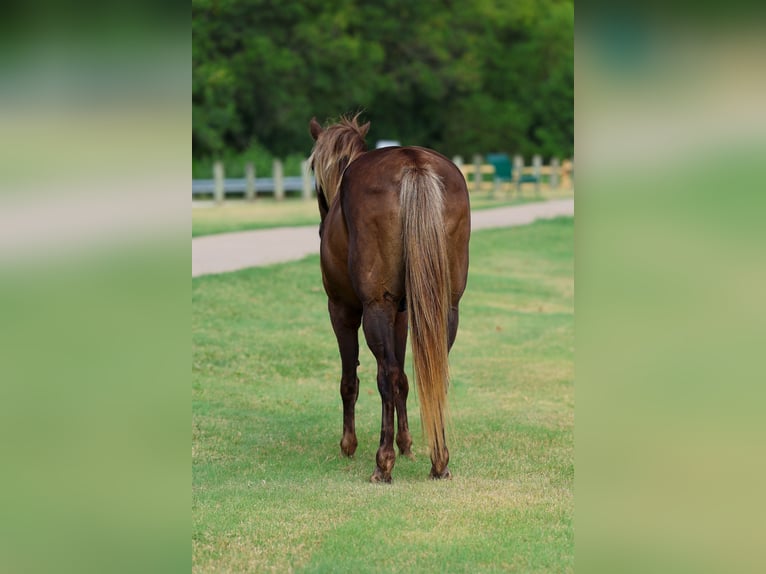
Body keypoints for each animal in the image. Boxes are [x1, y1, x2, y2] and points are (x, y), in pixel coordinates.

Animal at [308, 114, 470, 482]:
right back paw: (439, 460)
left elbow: (350, 381)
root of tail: (414, 163)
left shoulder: (342, 311)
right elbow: (407, 382)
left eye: (311, 168)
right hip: (444, 308)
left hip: (374, 310)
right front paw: (406, 443)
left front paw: (350, 444)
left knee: (386, 376)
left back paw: (382, 464)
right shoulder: (402, 314)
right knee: (430, 373)